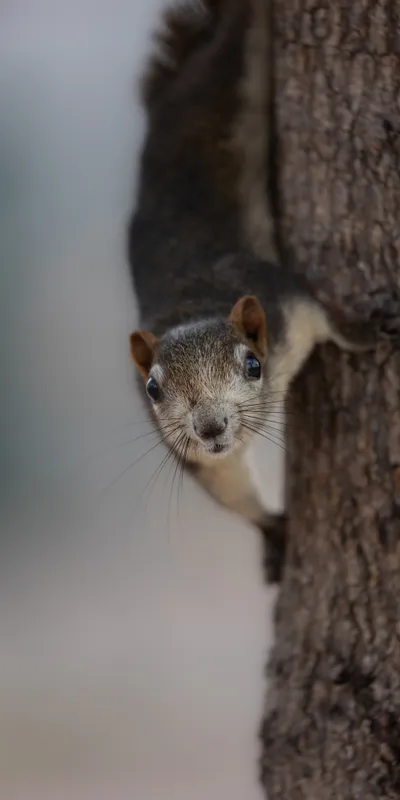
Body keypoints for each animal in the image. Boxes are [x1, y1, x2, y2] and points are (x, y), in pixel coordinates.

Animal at [127, 0, 400, 582]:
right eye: (153, 389)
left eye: (253, 364)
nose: (210, 428)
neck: (194, 304)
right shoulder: (192, 453)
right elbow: (229, 486)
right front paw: (272, 532)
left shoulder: (285, 302)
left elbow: (329, 318)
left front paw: (369, 328)